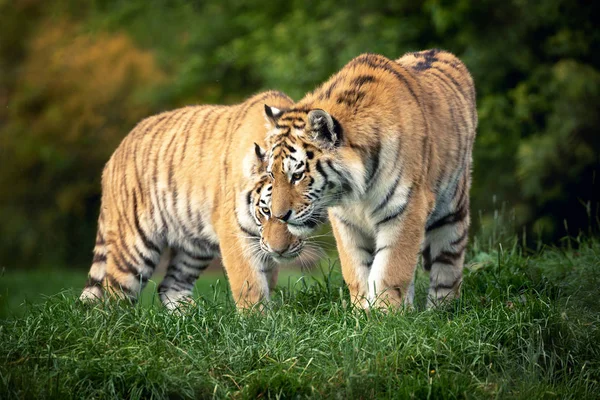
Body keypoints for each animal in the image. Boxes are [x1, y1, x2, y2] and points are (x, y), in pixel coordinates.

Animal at [79, 90, 308, 310]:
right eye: (266, 211)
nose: (279, 250)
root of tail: (114, 156)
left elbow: (267, 277)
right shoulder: (235, 232)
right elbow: (249, 282)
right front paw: (258, 319)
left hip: (193, 247)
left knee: (169, 286)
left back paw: (193, 316)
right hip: (135, 245)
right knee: (115, 293)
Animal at [256, 50, 478, 310]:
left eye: (298, 175)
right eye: (272, 174)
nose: (279, 216)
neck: (354, 191)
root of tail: (442, 52)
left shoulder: (406, 208)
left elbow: (391, 269)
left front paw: (385, 314)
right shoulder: (345, 220)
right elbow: (356, 269)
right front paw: (361, 310)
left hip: (452, 209)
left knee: (448, 263)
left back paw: (441, 310)